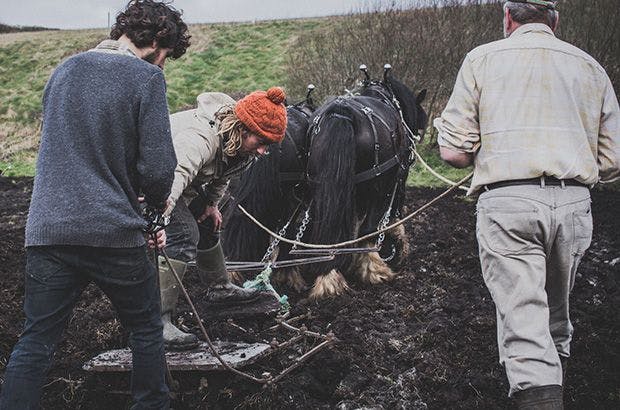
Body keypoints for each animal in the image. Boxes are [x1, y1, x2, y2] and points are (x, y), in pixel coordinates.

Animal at [300, 65, 426, 300]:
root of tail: (341, 112)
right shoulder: (396, 182)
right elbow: (390, 216)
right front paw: (395, 247)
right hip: (379, 186)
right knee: (369, 228)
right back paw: (374, 270)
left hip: (320, 188)